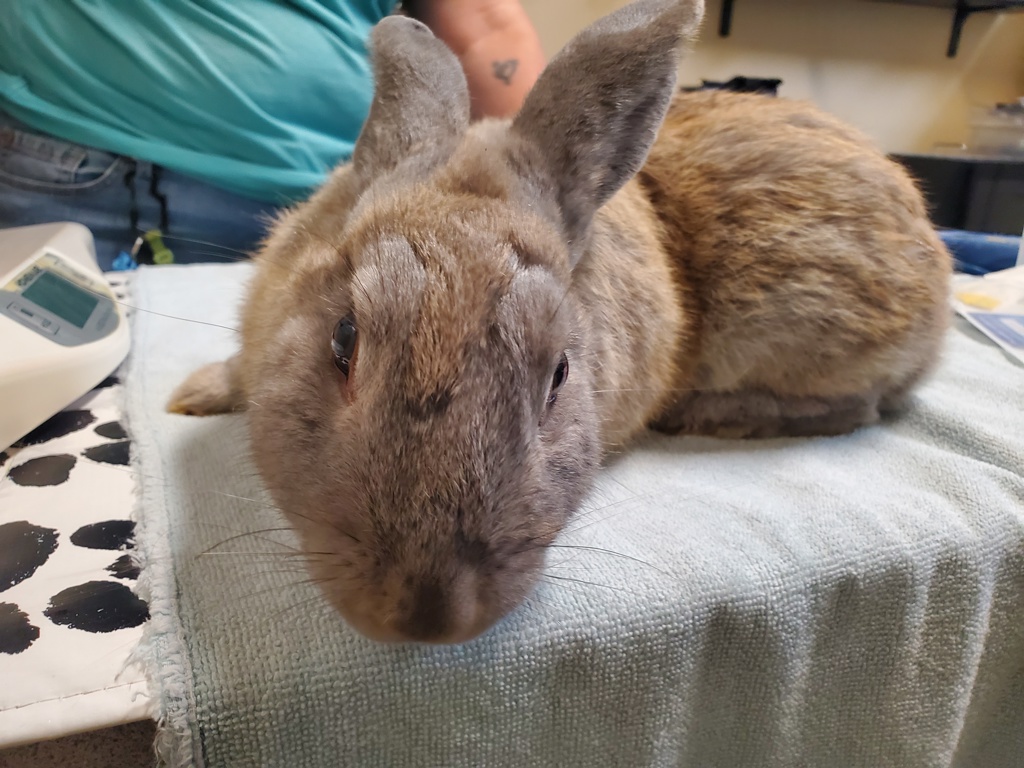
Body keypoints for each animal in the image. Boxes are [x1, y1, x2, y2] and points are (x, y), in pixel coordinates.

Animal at [166, 0, 951, 644]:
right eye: (343, 339)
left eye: (561, 375)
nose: (427, 616)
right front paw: (192, 396)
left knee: (857, 407)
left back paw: (708, 413)